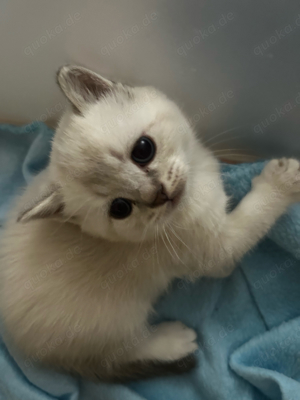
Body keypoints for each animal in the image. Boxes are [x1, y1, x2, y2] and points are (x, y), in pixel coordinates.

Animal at [0, 65, 300, 382]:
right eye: (120, 208)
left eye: (143, 150)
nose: (159, 194)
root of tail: (18, 343)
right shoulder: (217, 254)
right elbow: (255, 216)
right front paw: (282, 181)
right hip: (118, 320)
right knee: (120, 352)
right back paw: (175, 341)